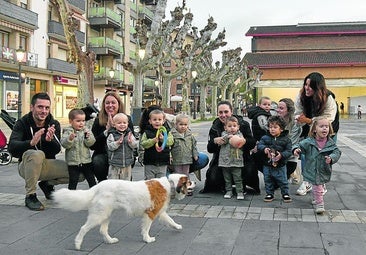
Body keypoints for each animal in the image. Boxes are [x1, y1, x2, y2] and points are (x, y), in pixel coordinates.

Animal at [53, 174, 194, 250]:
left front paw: (177, 226)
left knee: (102, 230)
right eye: (189, 182)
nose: (194, 182)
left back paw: (110, 241)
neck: (170, 184)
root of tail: (97, 186)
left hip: (106, 214)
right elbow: (146, 229)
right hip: (99, 215)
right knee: (83, 228)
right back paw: (77, 244)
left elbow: (171, 220)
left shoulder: (160, 212)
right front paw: (147, 239)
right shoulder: (150, 213)